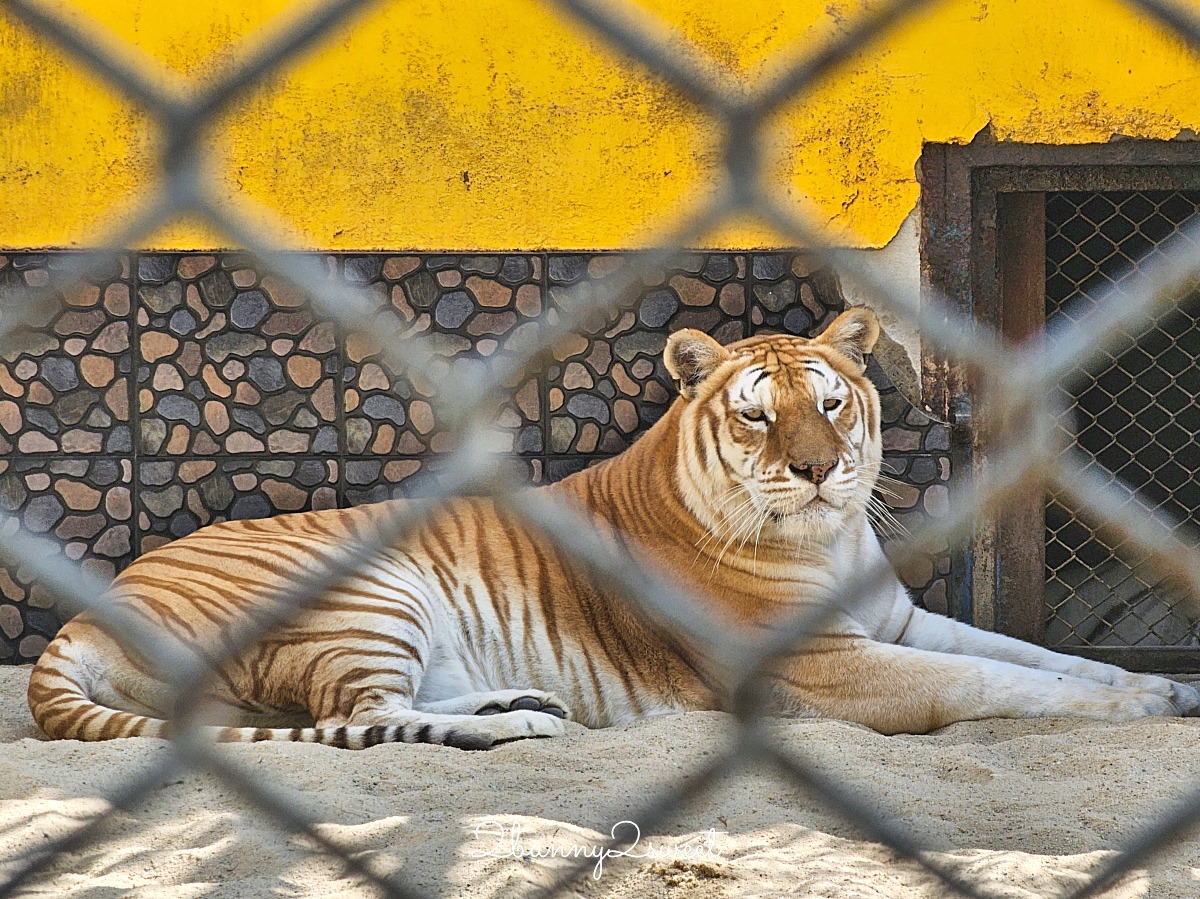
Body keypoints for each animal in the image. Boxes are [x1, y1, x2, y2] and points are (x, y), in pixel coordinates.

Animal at [28, 304, 1200, 748]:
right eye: (757, 414)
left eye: (832, 402)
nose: (818, 470)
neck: (824, 539)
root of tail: (86, 613)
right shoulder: (829, 668)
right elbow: (994, 681)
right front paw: (1147, 702)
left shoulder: (899, 625)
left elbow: (1031, 654)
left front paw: (1155, 684)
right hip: (371, 589)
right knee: (360, 720)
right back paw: (514, 728)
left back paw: (524, 701)